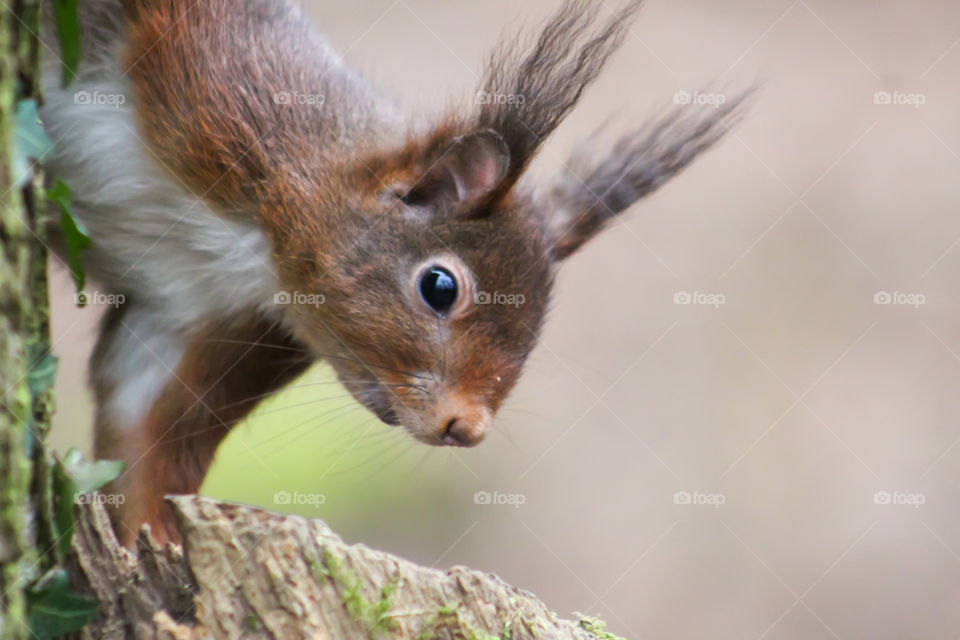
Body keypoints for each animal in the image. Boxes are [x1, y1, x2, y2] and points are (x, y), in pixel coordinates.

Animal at [39, 0, 744, 544]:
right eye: (439, 287)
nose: (466, 429)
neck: (252, 239)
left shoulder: (206, 320)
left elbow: (150, 435)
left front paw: (147, 543)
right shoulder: (213, 66)